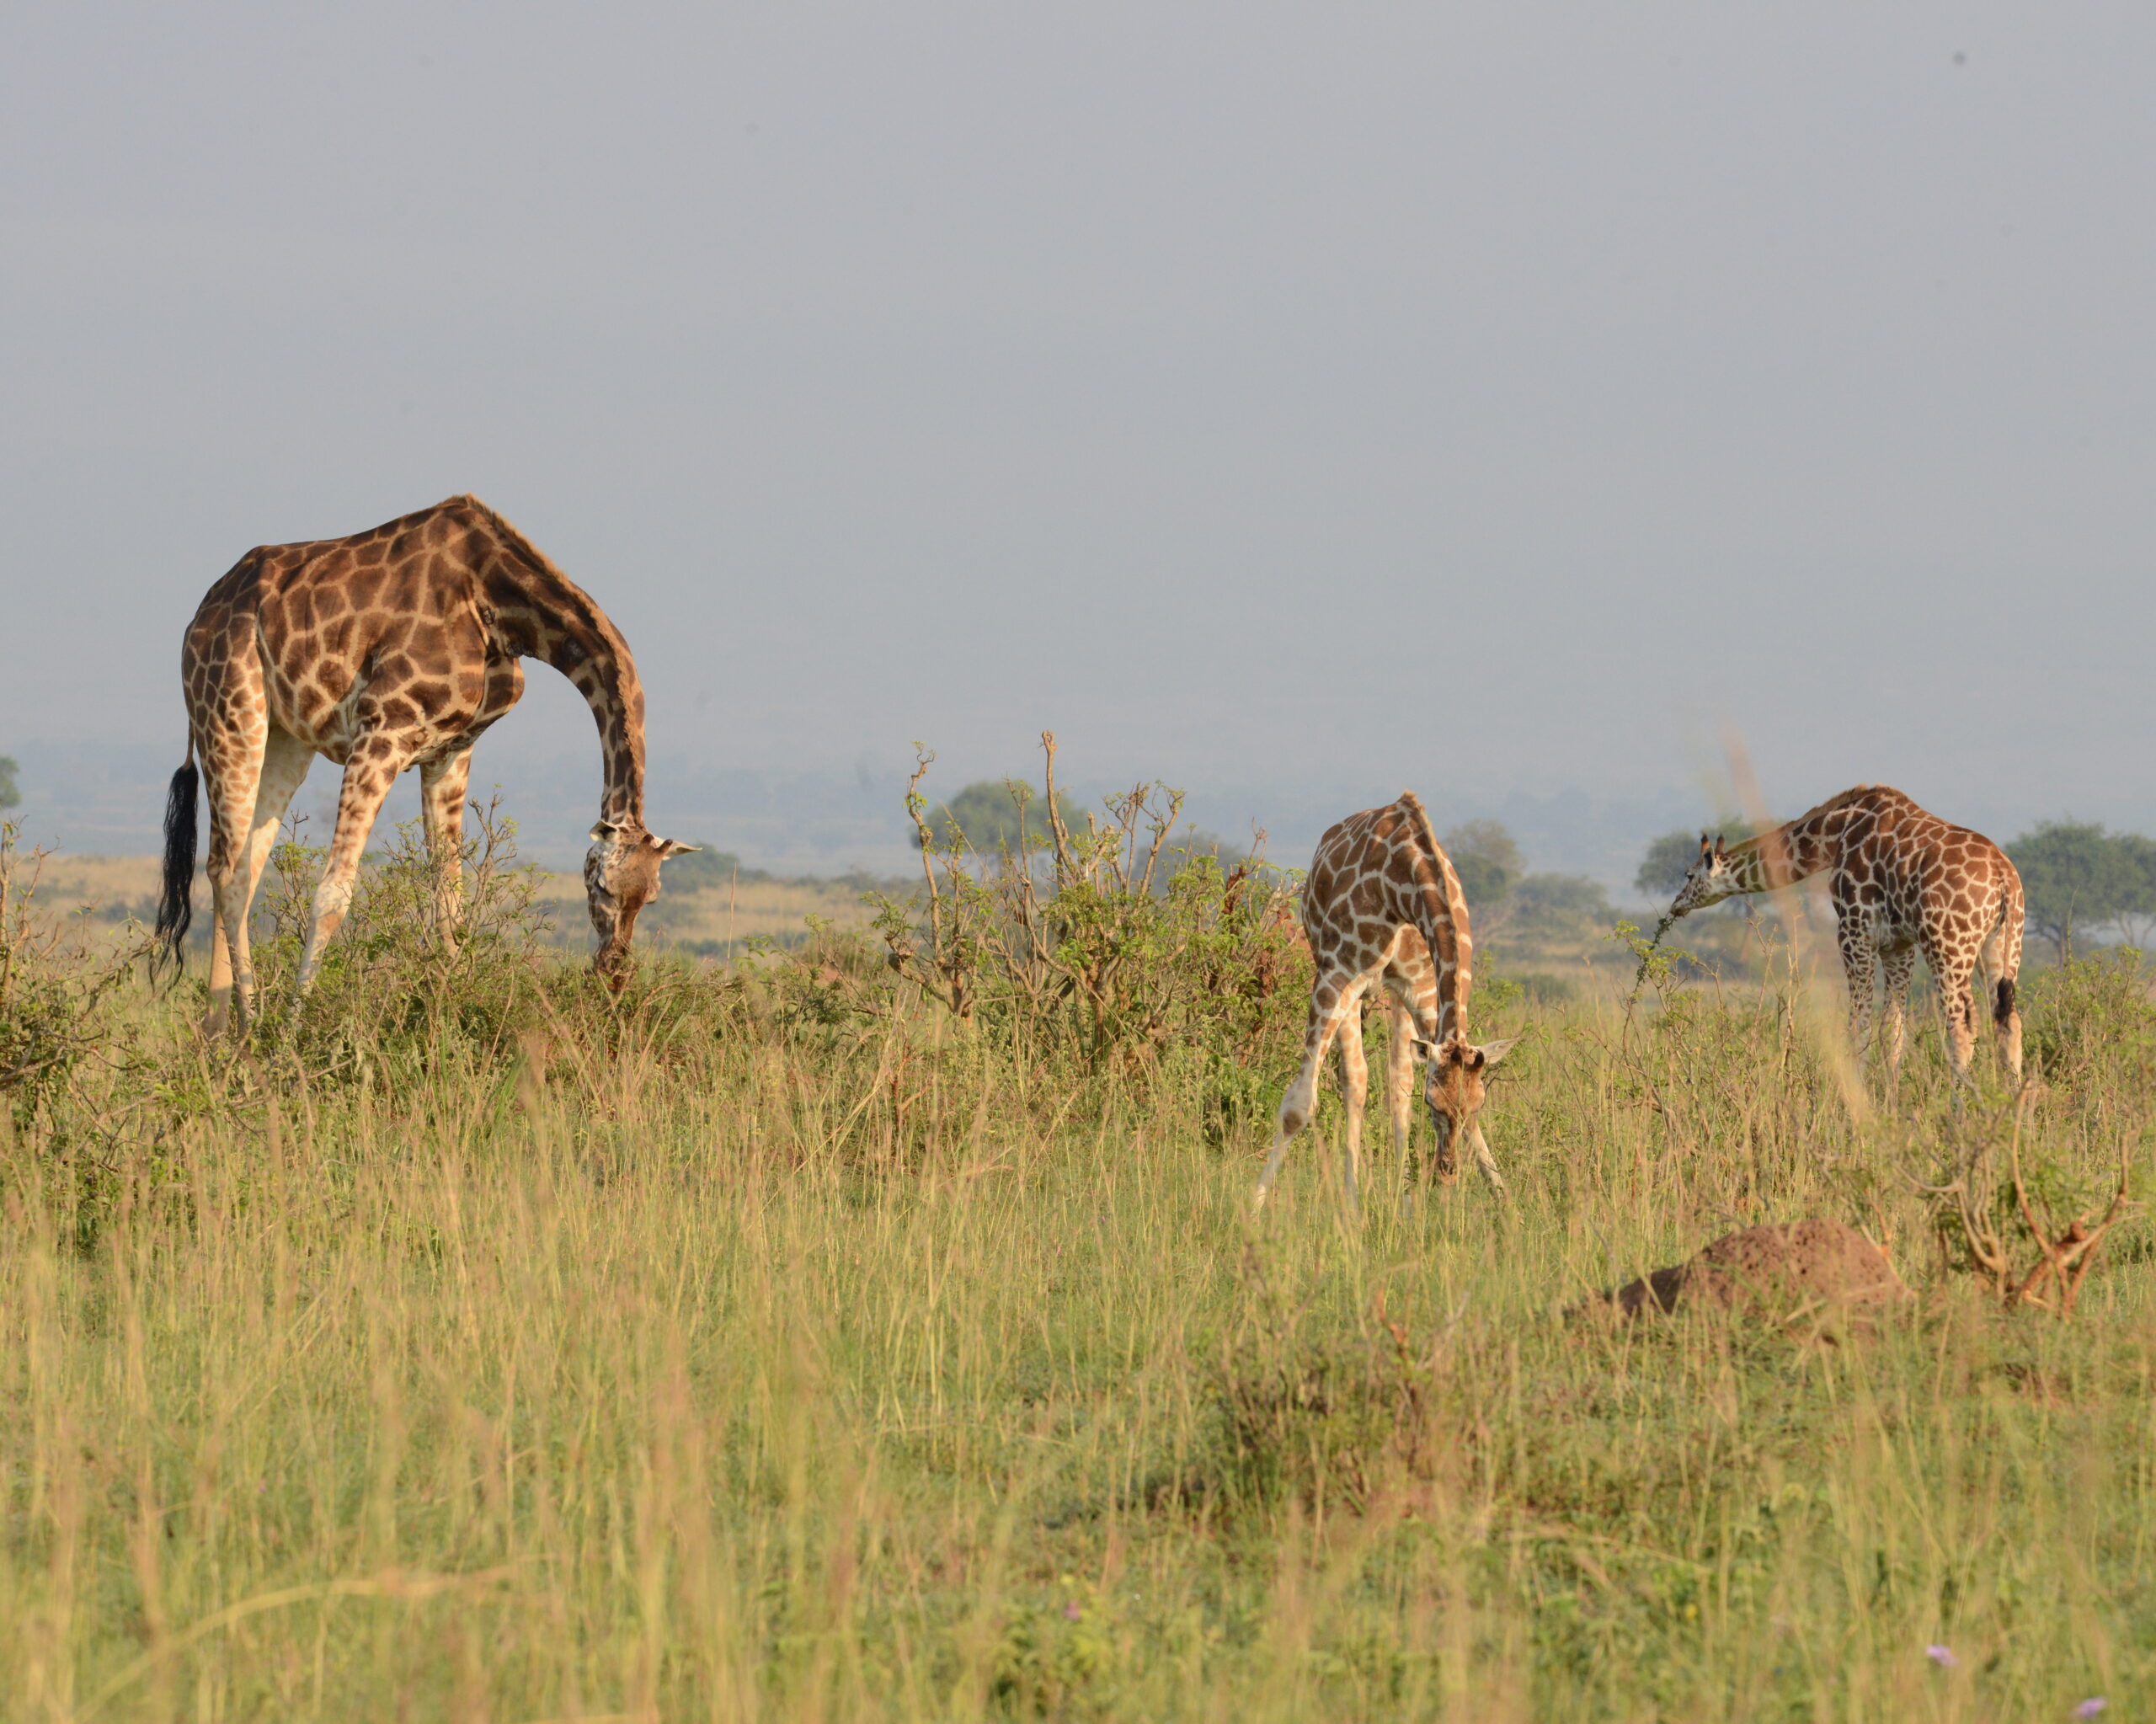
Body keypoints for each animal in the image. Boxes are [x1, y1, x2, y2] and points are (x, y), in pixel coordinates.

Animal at [152, 491, 690, 1030]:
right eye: (601, 887)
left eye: (651, 898)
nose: (612, 977)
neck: (498, 606)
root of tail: (201, 614)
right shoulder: (382, 729)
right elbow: (332, 896)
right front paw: (294, 1032)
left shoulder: (450, 750)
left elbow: (449, 904)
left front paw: (457, 1016)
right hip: (228, 711)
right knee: (224, 871)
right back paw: (253, 1026)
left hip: (284, 737)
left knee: (243, 868)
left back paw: (221, 1034)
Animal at [1250, 793, 1518, 1215]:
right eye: (1433, 1104)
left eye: (1477, 1106)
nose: (1447, 1173)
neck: (1402, 884)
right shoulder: (1338, 974)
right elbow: (1298, 1107)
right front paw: (1253, 1207)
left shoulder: (1421, 988)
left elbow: (1407, 1089)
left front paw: (1505, 1203)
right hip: (1345, 984)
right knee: (1355, 1079)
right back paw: (1351, 1202)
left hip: (1395, 995)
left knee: (1397, 1079)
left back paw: (1399, 1198)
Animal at [1664, 780, 2018, 1090]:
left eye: (1688, 875)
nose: (1676, 905)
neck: (1834, 835)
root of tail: (2004, 879)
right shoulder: (1898, 945)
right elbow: (1892, 1031)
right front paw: (1889, 1103)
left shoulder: (1853, 931)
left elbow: (1858, 1027)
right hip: (2000, 945)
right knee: (2009, 1024)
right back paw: (2014, 1111)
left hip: (1948, 946)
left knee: (1963, 1028)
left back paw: (1958, 1113)